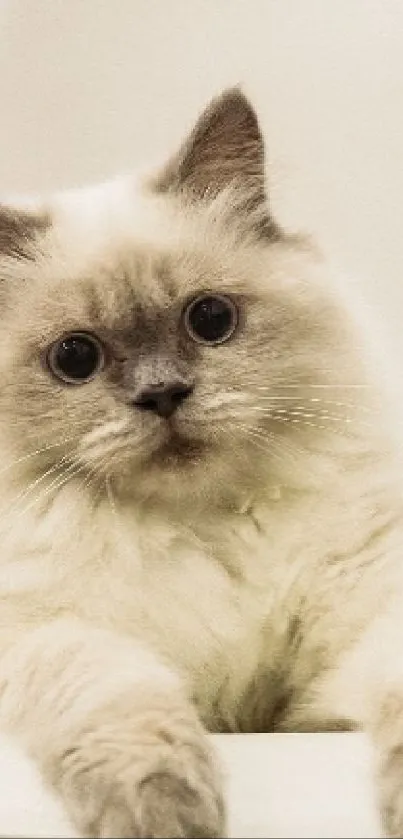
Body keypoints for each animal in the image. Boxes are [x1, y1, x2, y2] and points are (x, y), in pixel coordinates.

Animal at [0, 87, 403, 839]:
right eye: (75, 357)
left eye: (209, 319)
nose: (162, 395)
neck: (203, 528)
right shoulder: (47, 631)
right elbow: (122, 702)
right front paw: (162, 813)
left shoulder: (358, 634)